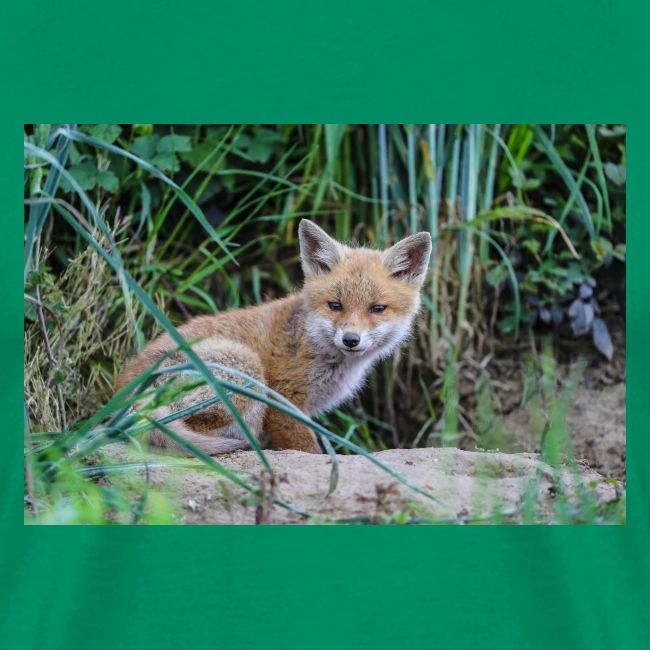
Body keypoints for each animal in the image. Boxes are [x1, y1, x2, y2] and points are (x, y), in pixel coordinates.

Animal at [116, 219, 432, 455]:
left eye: (377, 309)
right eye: (335, 305)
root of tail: (124, 395)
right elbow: (308, 449)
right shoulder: (284, 401)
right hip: (246, 368)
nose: (351, 339)